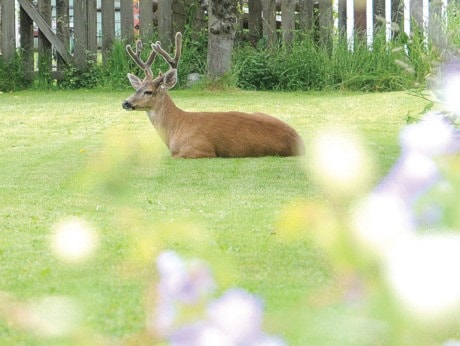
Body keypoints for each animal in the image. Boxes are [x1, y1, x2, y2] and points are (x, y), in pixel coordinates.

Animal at [121, 32, 306, 158]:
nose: (126, 103)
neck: (176, 128)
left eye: (149, 91)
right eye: (136, 89)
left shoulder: (200, 150)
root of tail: (300, 143)